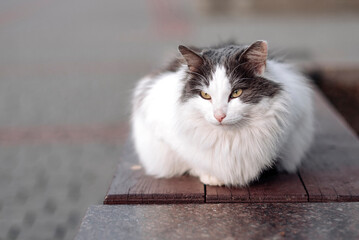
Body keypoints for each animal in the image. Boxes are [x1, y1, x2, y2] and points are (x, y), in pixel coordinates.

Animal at [131, 40, 314, 187]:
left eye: (236, 93)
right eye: (205, 95)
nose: (219, 116)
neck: (228, 139)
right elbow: (191, 159)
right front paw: (210, 176)